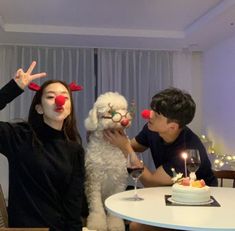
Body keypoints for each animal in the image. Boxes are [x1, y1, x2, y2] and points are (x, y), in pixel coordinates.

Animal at [84, 92, 133, 231]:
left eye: (124, 110)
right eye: (110, 111)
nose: (124, 121)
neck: (109, 146)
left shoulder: (120, 180)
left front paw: (116, 224)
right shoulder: (94, 180)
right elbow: (96, 207)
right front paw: (97, 224)